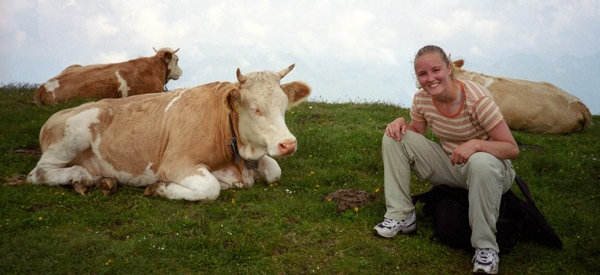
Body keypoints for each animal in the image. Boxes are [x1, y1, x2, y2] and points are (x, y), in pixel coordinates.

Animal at [26, 65, 312, 203]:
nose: (288, 144)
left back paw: (103, 181)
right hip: (74, 132)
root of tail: (55, 116)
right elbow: (210, 188)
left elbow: (274, 171)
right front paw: (160, 189)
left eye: (284, 105)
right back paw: (81, 176)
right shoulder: (175, 163)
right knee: (39, 173)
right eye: (255, 108)